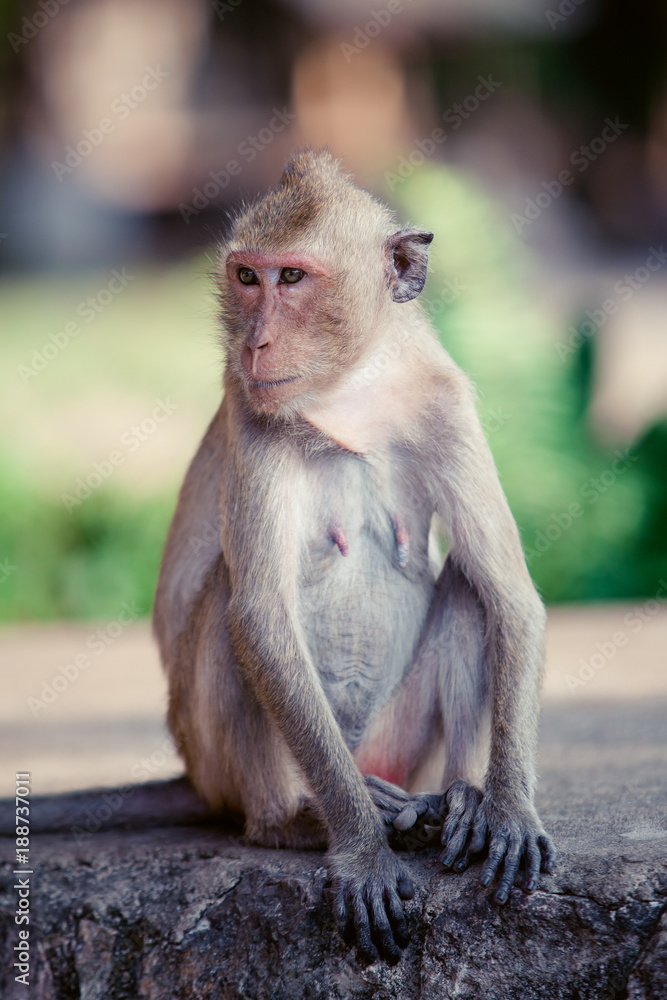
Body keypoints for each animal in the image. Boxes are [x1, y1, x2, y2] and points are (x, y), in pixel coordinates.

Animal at [149, 148, 555, 964]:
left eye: (292, 277)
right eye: (248, 277)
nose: (255, 342)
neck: (352, 393)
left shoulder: (445, 404)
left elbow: (507, 593)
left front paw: (509, 809)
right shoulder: (252, 413)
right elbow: (261, 621)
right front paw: (364, 853)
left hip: (398, 740)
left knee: (468, 583)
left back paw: (457, 801)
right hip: (221, 762)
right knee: (231, 605)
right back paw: (299, 820)